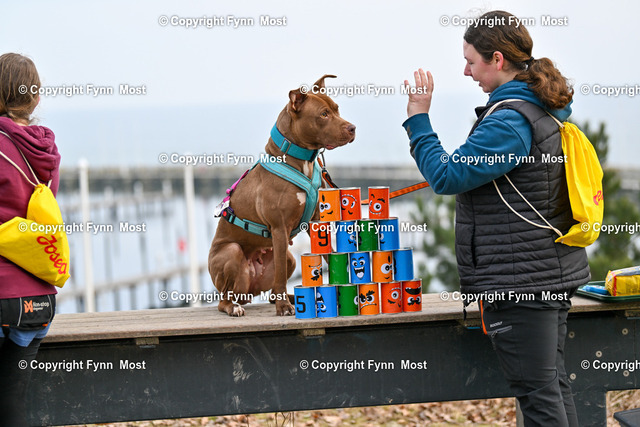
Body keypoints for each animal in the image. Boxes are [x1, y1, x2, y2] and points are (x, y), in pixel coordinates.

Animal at [208, 75, 356, 316]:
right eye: (323, 114)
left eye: (337, 109)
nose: (353, 128)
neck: (301, 160)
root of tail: (247, 293)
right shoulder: (279, 228)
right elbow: (279, 278)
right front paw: (284, 308)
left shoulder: (316, 222)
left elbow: (328, 251)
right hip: (231, 254)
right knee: (224, 299)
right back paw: (234, 307)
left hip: (288, 257)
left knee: (271, 289)